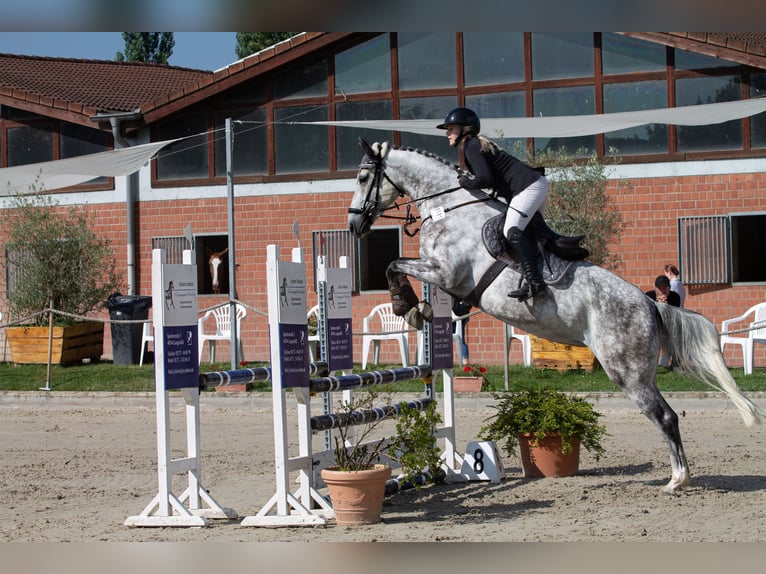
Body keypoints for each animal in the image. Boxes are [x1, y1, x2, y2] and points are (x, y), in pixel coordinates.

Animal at [352, 141, 764, 496]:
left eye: (362, 177)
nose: (354, 224)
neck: (448, 208)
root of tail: (651, 306)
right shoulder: (445, 279)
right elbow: (417, 283)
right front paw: (417, 310)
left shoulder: (444, 272)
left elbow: (395, 264)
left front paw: (405, 304)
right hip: (639, 372)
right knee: (667, 415)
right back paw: (679, 477)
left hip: (627, 374)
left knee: (665, 417)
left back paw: (677, 480)